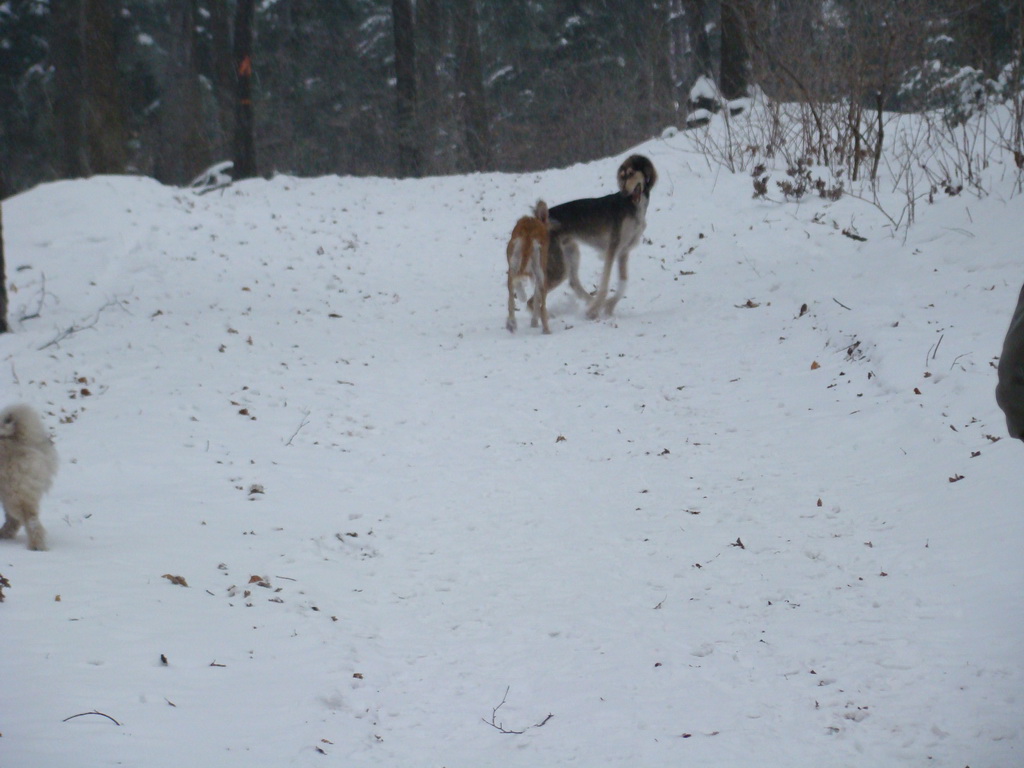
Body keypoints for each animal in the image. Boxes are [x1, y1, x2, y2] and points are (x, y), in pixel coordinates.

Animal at [544, 156, 655, 319]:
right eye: (622, 176)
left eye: (631, 173)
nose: (624, 192)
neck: (633, 207)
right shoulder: (612, 248)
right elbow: (605, 284)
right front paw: (595, 309)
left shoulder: (623, 252)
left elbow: (623, 283)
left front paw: (608, 306)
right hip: (559, 266)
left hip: (571, 253)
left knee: (572, 282)